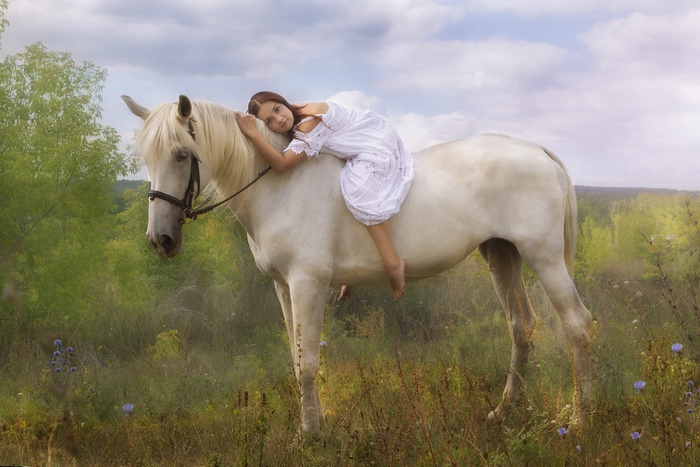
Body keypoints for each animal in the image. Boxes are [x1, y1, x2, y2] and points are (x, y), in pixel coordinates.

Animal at [122, 94, 593, 436]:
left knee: (576, 326)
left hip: (544, 257)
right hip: (501, 254)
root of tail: (537, 151)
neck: (279, 183)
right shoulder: (283, 287)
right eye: (147, 157)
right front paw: (314, 423)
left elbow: (308, 362)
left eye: (181, 154)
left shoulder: (308, 283)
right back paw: (504, 411)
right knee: (521, 326)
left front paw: (309, 434)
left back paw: (579, 419)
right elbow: (297, 357)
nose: (160, 240)